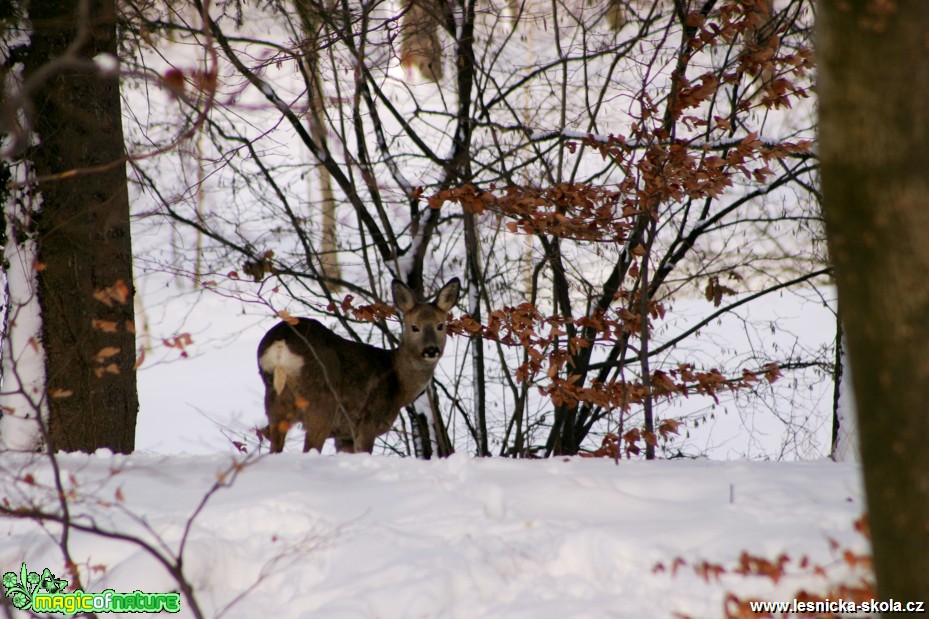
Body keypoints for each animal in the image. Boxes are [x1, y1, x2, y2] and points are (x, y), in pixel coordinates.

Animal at [256, 278, 458, 452]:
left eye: (440, 326)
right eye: (414, 327)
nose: (431, 350)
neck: (398, 386)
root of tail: (281, 344)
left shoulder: (344, 436)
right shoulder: (368, 423)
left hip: (274, 403)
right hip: (321, 403)